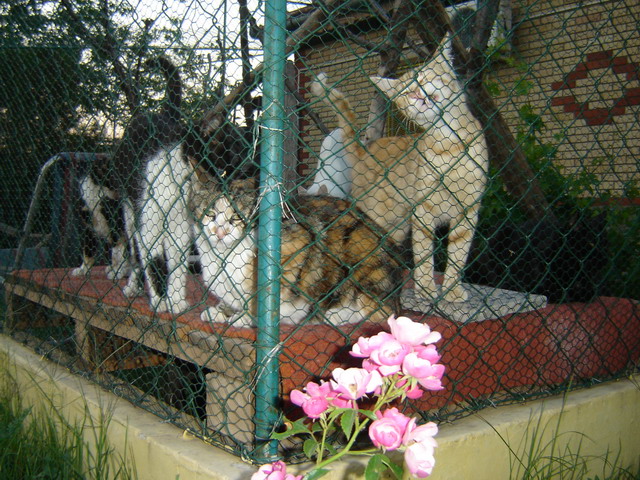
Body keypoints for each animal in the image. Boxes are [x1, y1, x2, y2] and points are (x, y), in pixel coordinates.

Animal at [190, 179, 402, 327]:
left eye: (236, 217)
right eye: (210, 214)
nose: (220, 232)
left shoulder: (300, 244)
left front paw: (245, 318)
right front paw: (220, 311)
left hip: (362, 251)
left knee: (384, 311)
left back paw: (334, 315)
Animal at [310, 35, 488, 303]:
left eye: (424, 78)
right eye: (406, 91)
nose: (417, 96)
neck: (450, 145)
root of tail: (365, 150)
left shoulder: (468, 210)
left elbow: (458, 254)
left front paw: (451, 290)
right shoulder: (424, 212)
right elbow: (424, 255)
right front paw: (426, 289)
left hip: (398, 225)